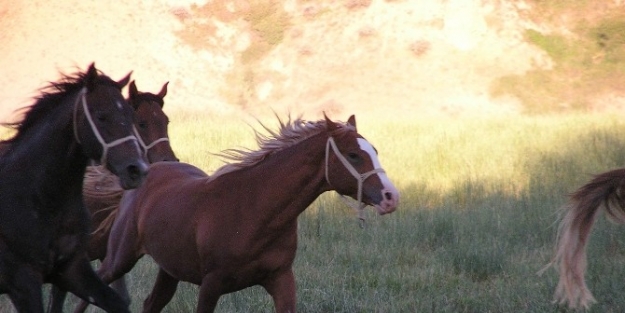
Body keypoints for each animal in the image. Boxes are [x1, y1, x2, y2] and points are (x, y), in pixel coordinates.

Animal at [0, 63, 147, 312]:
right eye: (101, 116)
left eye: (131, 116)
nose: (137, 170)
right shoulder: (23, 281)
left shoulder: (72, 269)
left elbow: (117, 302)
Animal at [77, 113, 400, 310]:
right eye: (354, 155)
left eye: (374, 150)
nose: (391, 197)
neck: (255, 211)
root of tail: (143, 175)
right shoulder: (211, 284)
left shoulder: (281, 279)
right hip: (120, 257)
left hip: (169, 270)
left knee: (151, 304)